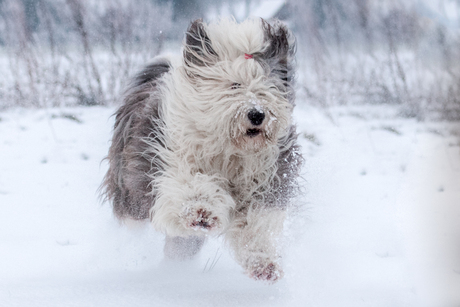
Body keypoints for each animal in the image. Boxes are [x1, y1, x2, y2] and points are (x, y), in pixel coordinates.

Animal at [100, 17, 302, 284]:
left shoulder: (269, 177)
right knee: (135, 213)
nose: (257, 114)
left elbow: (256, 222)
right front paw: (201, 211)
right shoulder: (171, 158)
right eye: (235, 85)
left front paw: (263, 264)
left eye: (267, 88)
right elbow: (189, 184)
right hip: (129, 184)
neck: (229, 147)